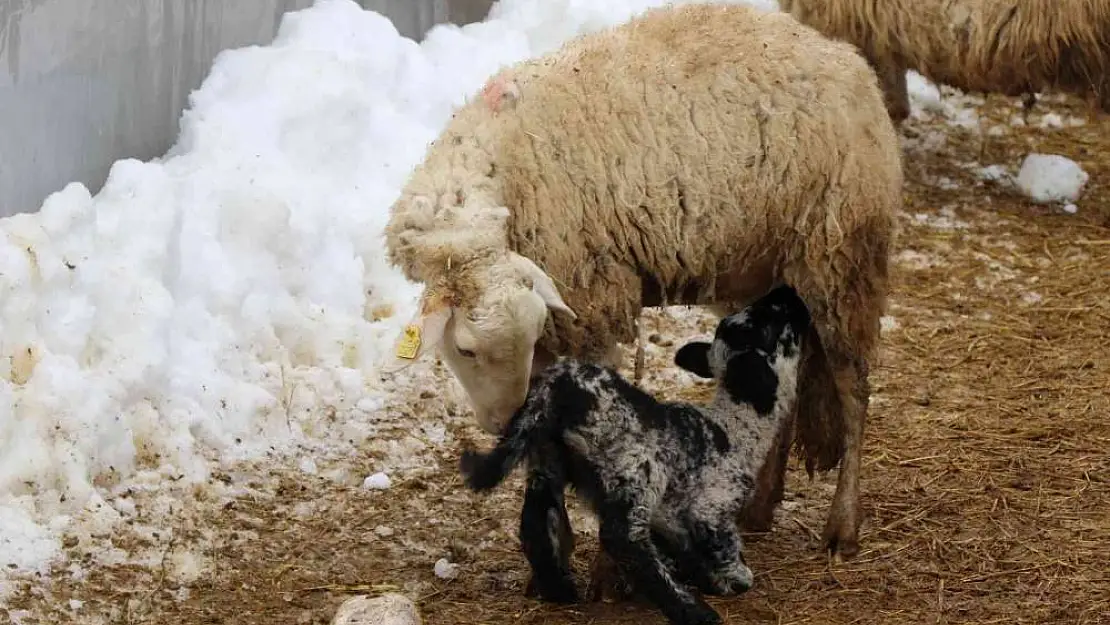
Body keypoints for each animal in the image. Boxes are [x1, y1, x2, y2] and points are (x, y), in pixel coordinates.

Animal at [381, 1, 901, 568]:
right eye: (467, 350)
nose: (502, 420)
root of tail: (844, 57)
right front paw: (554, 541)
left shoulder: (593, 306)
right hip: (762, 268)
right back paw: (759, 507)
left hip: (840, 254)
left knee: (854, 389)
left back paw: (843, 526)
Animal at [455, 284, 812, 625]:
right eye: (771, 324)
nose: (788, 291)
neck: (734, 426)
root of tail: (555, 386)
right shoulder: (711, 507)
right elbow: (723, 549)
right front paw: (731, 579)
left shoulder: (672, 516)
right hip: (633, 468)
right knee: (623, 538)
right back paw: (693, 612)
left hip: (547, 458)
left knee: (536, 519)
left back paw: (559, 589)